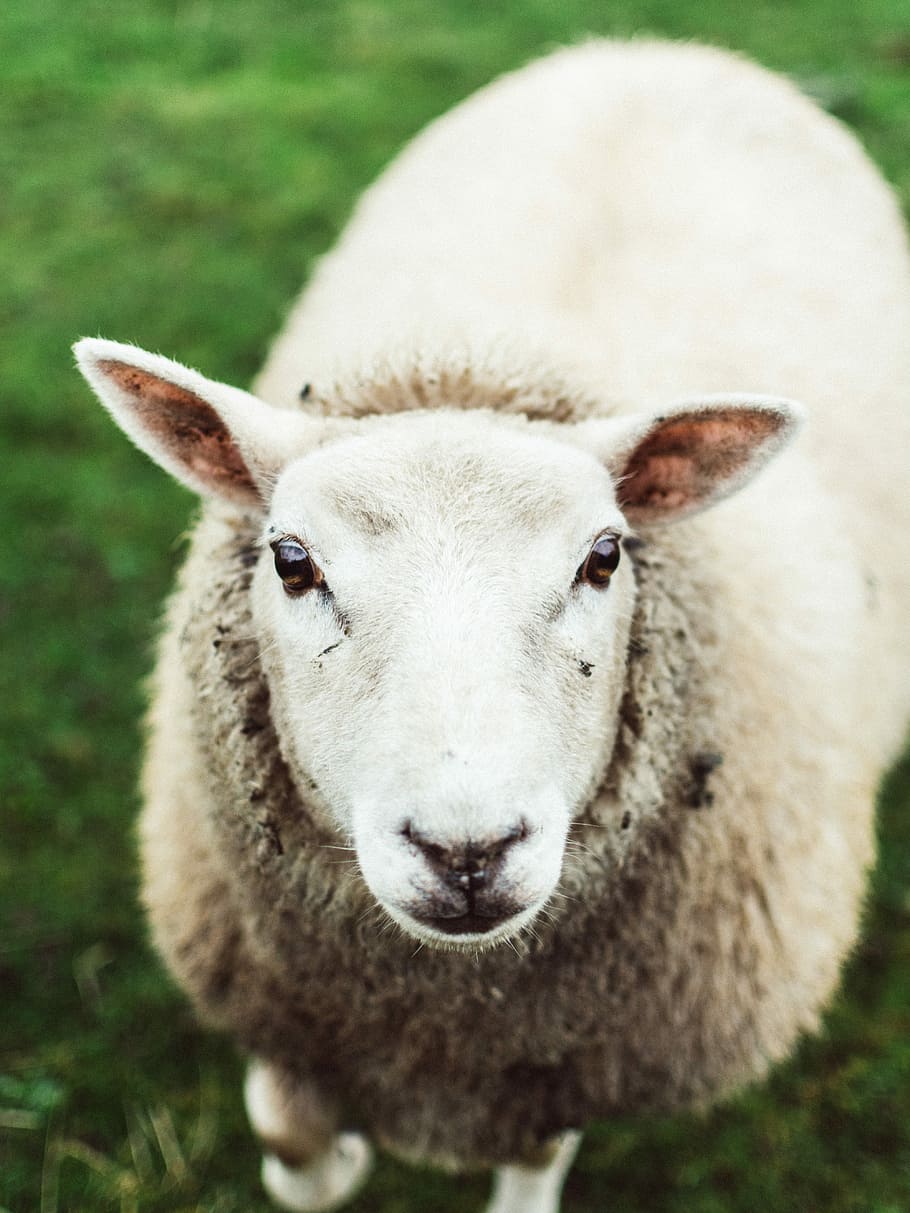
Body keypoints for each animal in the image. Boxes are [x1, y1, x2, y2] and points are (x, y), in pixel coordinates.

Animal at [74, 38, 910, 1213]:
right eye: (292, 560)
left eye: (604, 556)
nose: (465, 851)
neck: (444, 1025)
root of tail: (655, 48)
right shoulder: (292, 1015)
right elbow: (293, 1147)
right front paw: (329, 1153)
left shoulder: (562, 1054)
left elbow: (532, 1158)